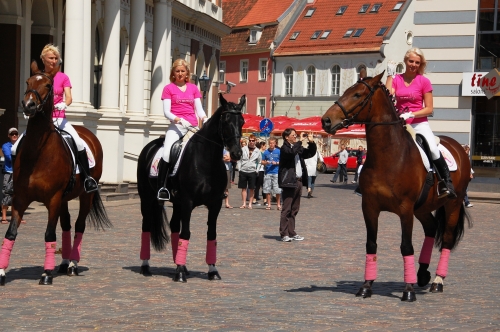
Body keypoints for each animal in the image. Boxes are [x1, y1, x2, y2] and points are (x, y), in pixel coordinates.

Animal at [0, 60, 110, 286]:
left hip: (85, 196)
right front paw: (2, 272)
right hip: (65, 198)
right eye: (28, 81)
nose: (28, 105)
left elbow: (49, 234)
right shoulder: (20, 199)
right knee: (67, 224)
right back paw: (64, 262)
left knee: (79, 225)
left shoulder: (52, 199)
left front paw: (46, 274)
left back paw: (73, 264)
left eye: (48, 86)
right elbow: (10, 233)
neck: (38, 152)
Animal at [137, 92, 246, 280]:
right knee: (147, 226)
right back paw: (146, 267)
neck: (206, 160)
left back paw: (179, 264)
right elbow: (186, 233)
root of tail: (149, 147)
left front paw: (212, 270)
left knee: (174, 226)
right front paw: (180, 272)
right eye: (225, 121)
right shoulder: (188, 202)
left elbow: (211, 234)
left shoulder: (215, 204)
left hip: (177, 202)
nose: (236, 153)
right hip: (147, 198)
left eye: (242, 122)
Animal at [322, 72, 470, 300]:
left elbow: (406, 246)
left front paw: (408, 291)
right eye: (345, 91)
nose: (326, 120)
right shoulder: (370, 207)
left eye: (357, 94)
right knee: (431, 228)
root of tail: (459, 148)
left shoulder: (405, 209)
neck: (389, 155)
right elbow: (371, 244)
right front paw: (366, 286)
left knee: (446, 237)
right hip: (422, 208)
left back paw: (437, 280)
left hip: (452, 204)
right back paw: (422, 274)